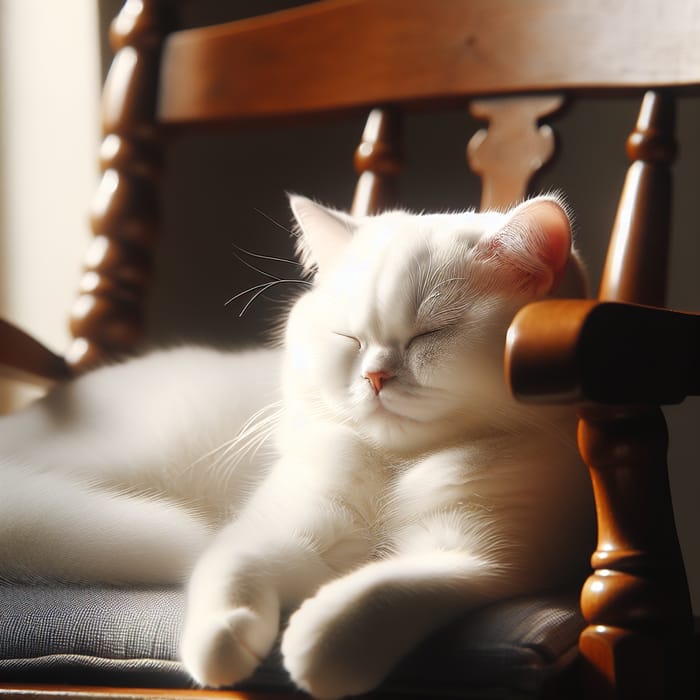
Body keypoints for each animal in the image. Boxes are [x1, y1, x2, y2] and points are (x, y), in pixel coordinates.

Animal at [0, 196, 592, 700]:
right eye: (348, 337)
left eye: (431, 334)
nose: (375, 376)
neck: (395, 465)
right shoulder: (285, 527)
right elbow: (231, 566)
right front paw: (223, 640)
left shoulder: (475, 557)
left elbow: (384, 591)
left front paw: (318, 647)